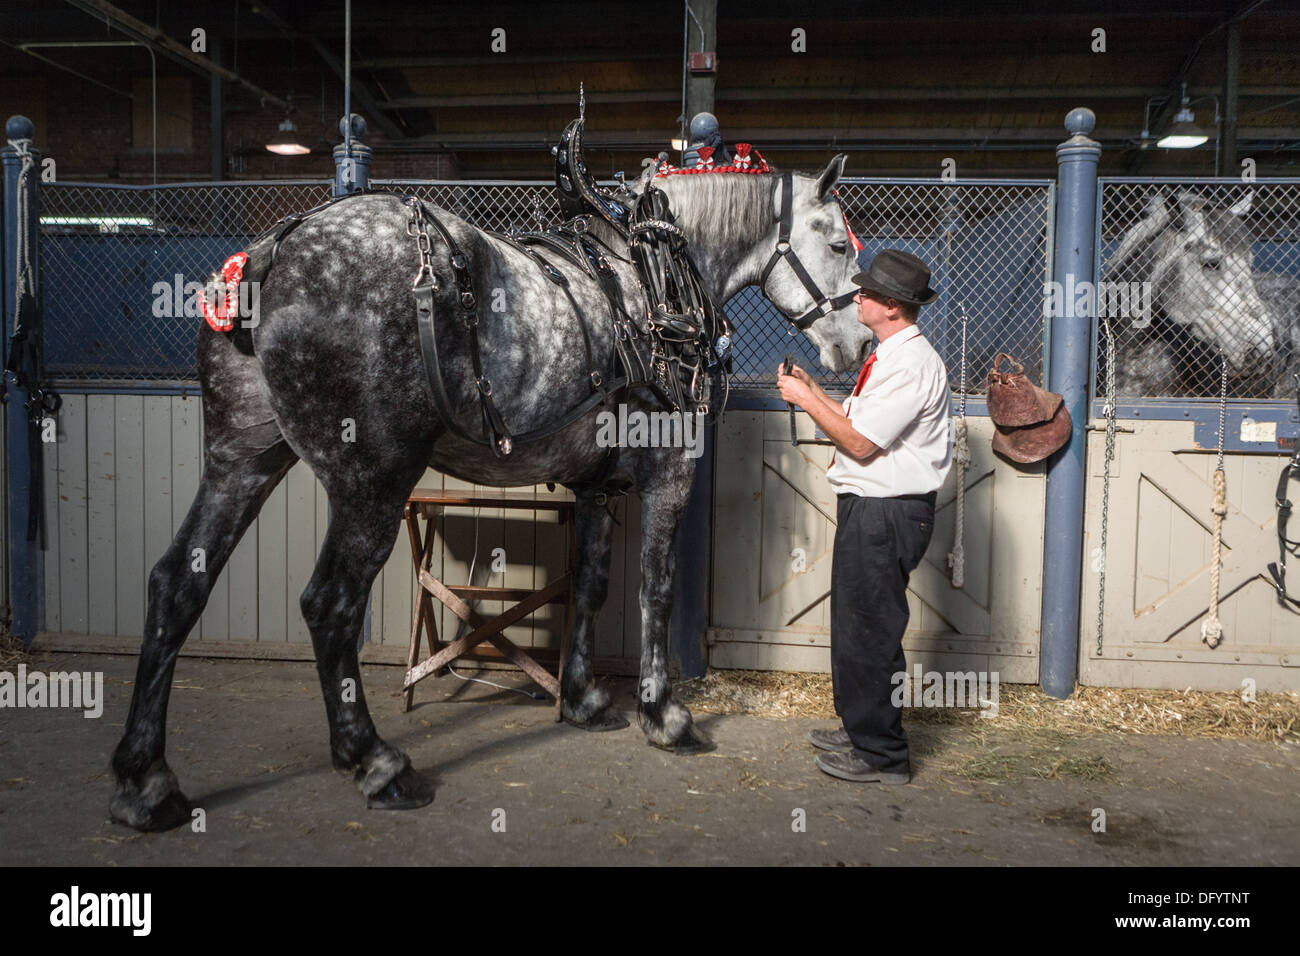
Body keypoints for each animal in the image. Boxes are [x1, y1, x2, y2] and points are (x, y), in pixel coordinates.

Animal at [106, 153, 868, 827]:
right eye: (837, 243)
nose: (859, 346)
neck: (652, 285)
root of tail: (275, 248)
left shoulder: (597, 487)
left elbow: (591, 584)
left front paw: (584, 699)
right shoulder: (669, 472)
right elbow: (656, 587)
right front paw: (664, 715)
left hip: (242, 460)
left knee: (176, 585)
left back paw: (146, 781)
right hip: (371, 482)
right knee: (330, 604)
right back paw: (376, 760)